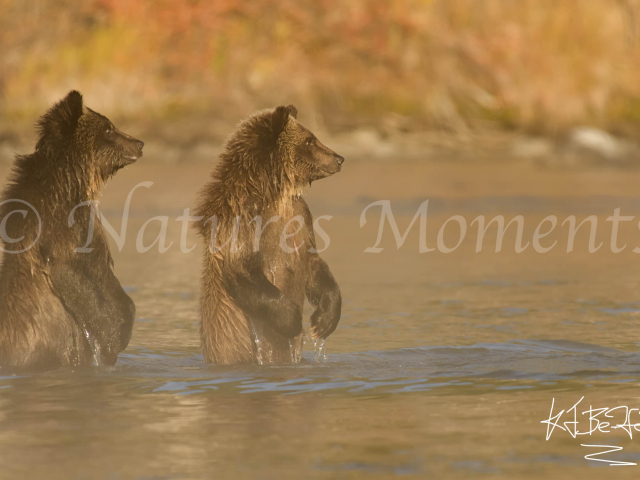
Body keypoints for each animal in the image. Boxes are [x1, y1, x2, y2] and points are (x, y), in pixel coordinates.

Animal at [194, 105, 343, 365]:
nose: (338, 158)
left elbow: (314, 264)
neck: (276, 195)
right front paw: (292, 321)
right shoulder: (241, 223)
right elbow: (243, 270)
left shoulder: (301, 219)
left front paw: (322, 322)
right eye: (310, 140)